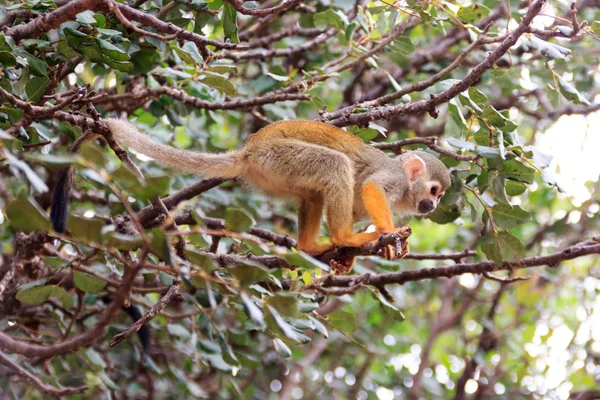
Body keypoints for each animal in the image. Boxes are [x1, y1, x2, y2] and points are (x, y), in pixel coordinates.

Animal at [51, 119, 450, 256]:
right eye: (433, 191)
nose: (433, 206)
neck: (406, 189)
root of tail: (249, 149)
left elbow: (356, 203)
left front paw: (345, 262)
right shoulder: (394, 179)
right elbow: (370, 187)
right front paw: (387, 234)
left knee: (314, 190)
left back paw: (311, 246)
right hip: (280, 157)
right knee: (335, 165)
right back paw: (343, 238)